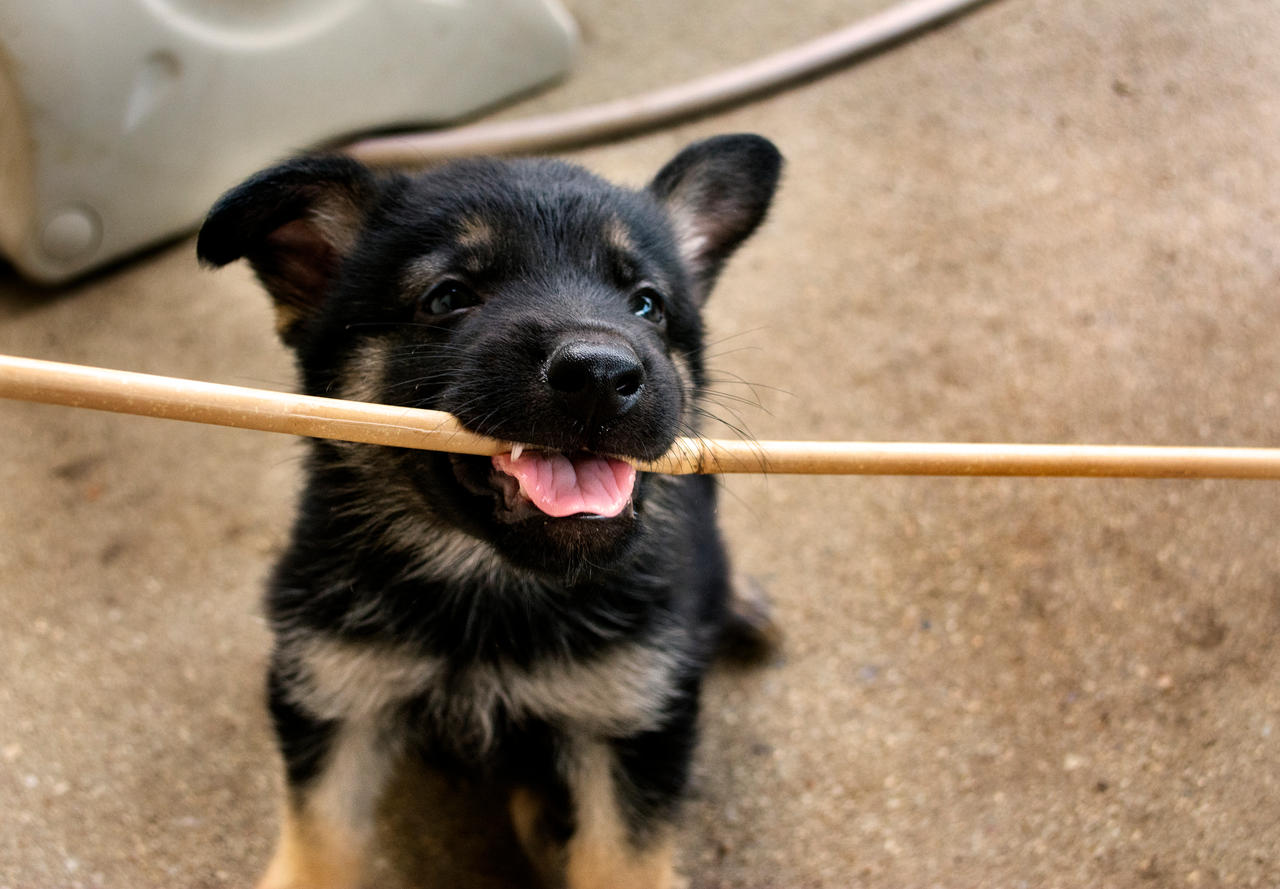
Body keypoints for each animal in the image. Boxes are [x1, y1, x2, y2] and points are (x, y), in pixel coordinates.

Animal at [197, 133, 778, 889]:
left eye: (647, 304)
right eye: (448, 297)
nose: (601, 376)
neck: (487, 587)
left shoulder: (630, 721)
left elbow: (619, 861)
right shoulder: (334, 697)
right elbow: (322, 843)